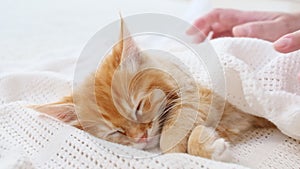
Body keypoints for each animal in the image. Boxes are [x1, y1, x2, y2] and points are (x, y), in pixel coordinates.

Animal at [33, 18, 274, 161]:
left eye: (139, 107)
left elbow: (170, 140)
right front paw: (208, 144)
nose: (141, 137)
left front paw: (187, 147)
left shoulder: (197, 94)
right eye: (115, 132)